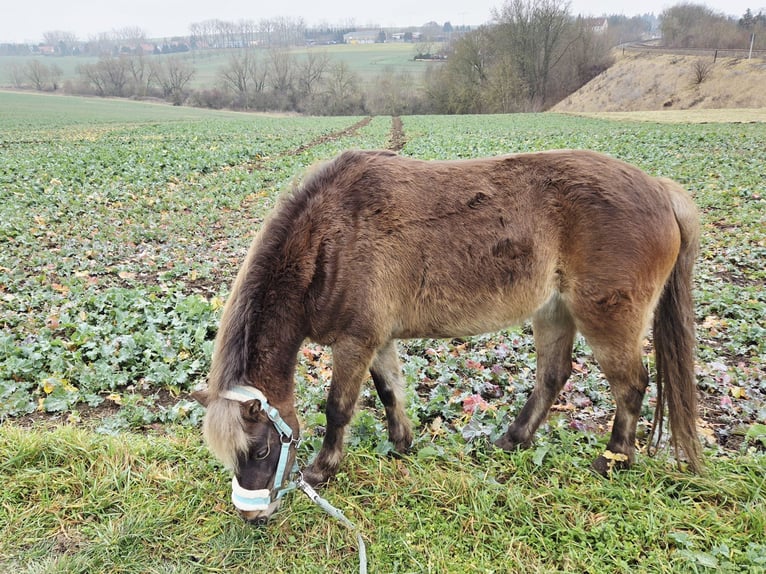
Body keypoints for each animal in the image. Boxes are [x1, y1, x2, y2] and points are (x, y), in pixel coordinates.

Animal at [192, 148, 702, 524]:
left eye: (261, 450)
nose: (251, 516)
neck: (330, 239)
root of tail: (661, 191)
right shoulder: (378, 339)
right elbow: (390, 391)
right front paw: (402, 444)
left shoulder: (354, 342)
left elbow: (338, 409)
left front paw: (323, 469)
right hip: (554, 311)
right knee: (554, 376)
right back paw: (513, 440)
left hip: (606, 319)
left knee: (631, 386)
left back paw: (613, 461)